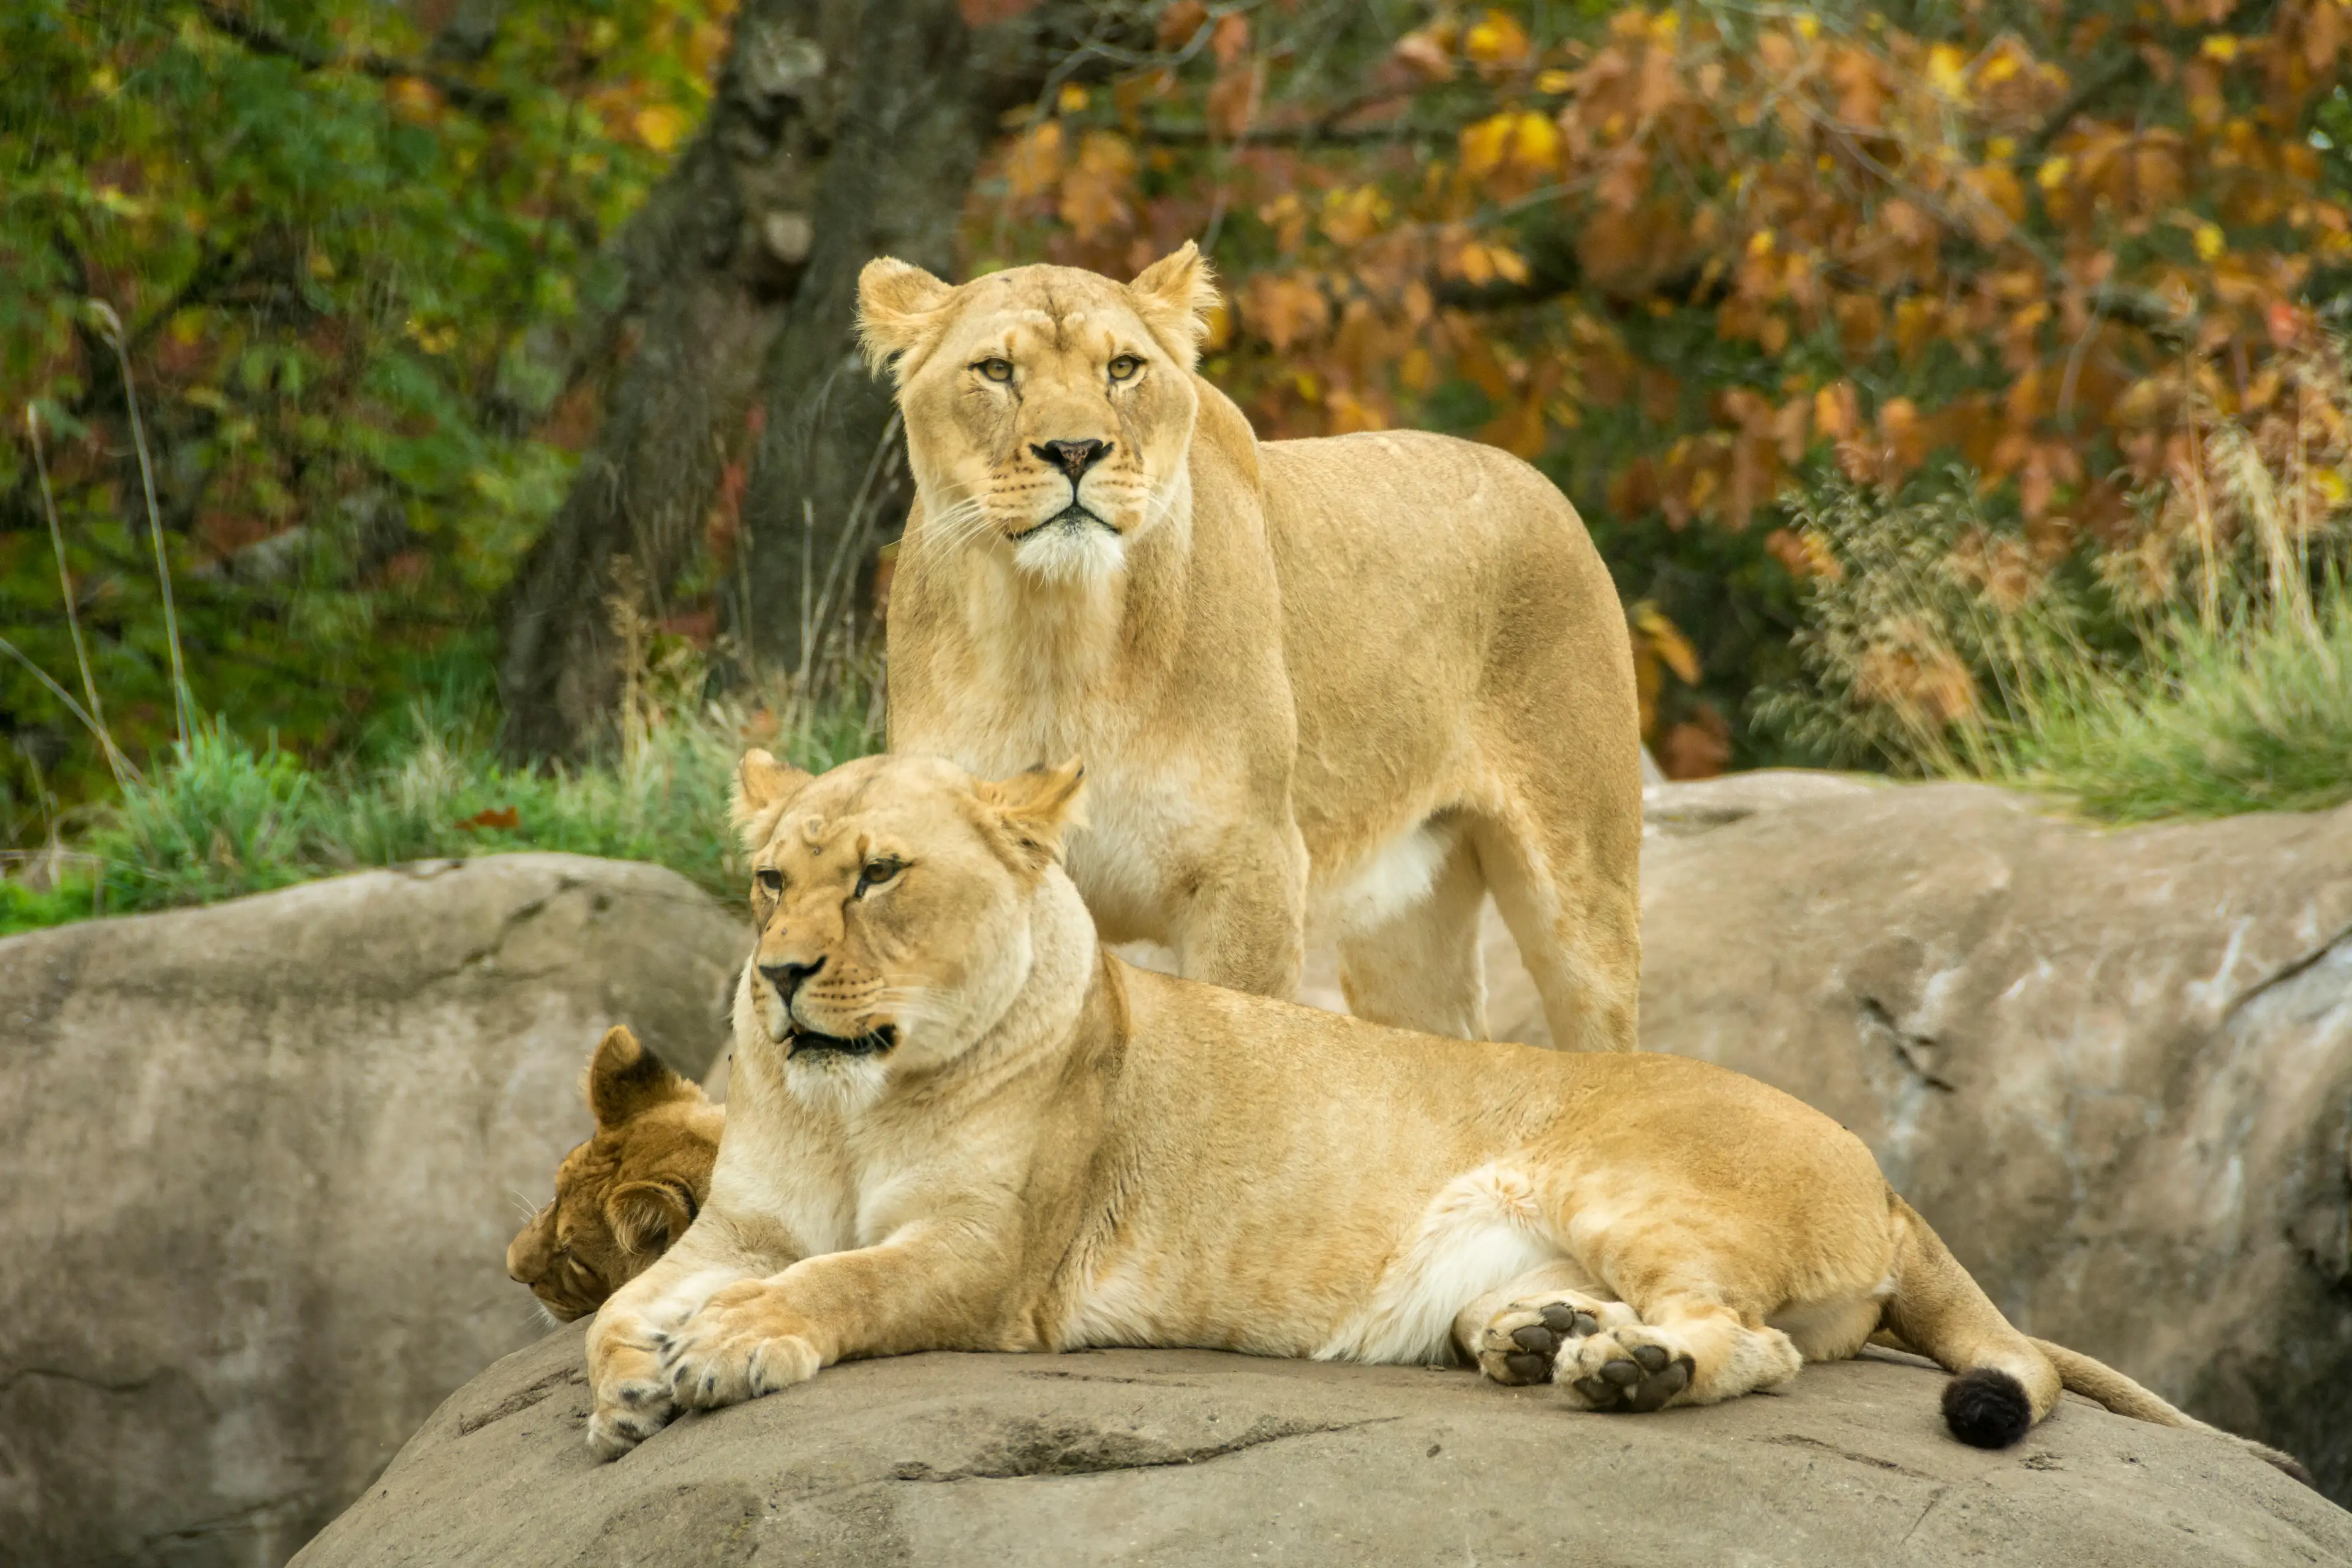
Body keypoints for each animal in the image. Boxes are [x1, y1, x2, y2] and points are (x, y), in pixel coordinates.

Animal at [579, 749, 2307, 1485]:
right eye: (767, 877)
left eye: (879, 873)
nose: (775, 972)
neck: (852, 1107)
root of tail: (1877, 1165)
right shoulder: (736, 1217)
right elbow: (620, 1301)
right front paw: (627, 1388)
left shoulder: (991, 1261)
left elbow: (840, 1280)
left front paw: (725, 1351)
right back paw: (1543, 1336)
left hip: (1620, 1171)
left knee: (1740, 1338)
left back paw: (1621, 1368)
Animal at [857, 242, 1641, 1050]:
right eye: (996, 370)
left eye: (1123, 368)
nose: (1075, 450)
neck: (1055, 636)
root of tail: (1538, 480)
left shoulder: (1252, 869)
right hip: (1406, 930)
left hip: (1583, 890)